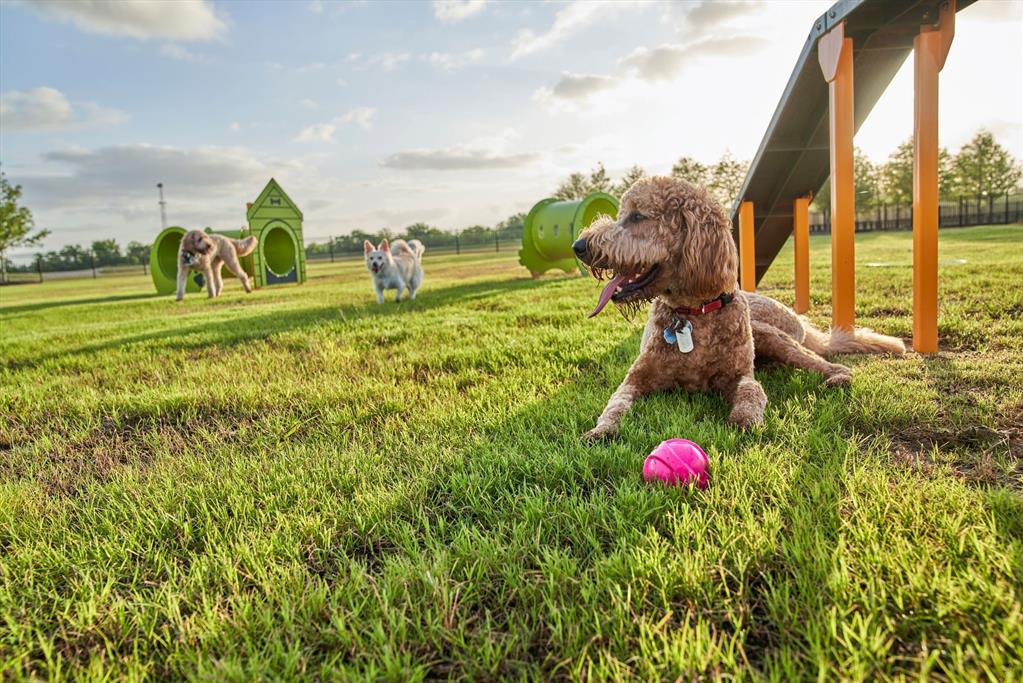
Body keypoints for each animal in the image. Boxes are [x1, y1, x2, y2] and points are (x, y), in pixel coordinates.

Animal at [576, 175, 904, 439]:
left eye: (638, 216)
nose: (579, 246)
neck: (693, 314)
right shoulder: (635, 379)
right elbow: (615, 403)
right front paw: (602, 429)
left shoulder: (739, 376)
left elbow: (752, 391)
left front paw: (744, 418)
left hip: (774, 338)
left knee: (824, 362)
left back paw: (838, 377)